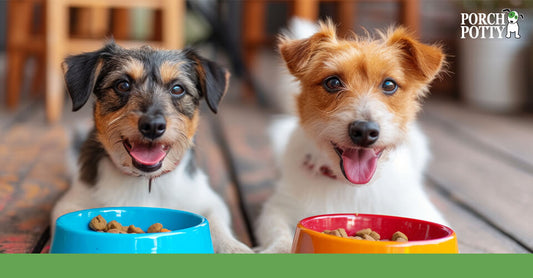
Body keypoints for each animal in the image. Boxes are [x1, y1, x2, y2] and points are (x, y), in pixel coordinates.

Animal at [51, 42, 254, 253]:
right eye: (122, 85)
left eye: (177, 88)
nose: (153, 126)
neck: (145, 182)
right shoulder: (70, 203)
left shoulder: (210, 201)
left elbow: (216, 222)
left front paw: (234, 248)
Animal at [256, 18, 446, 253]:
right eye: (333, 82)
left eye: (389, 85)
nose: (364, 131)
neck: (351, 189)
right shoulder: (276, 209)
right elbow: (279, 233)